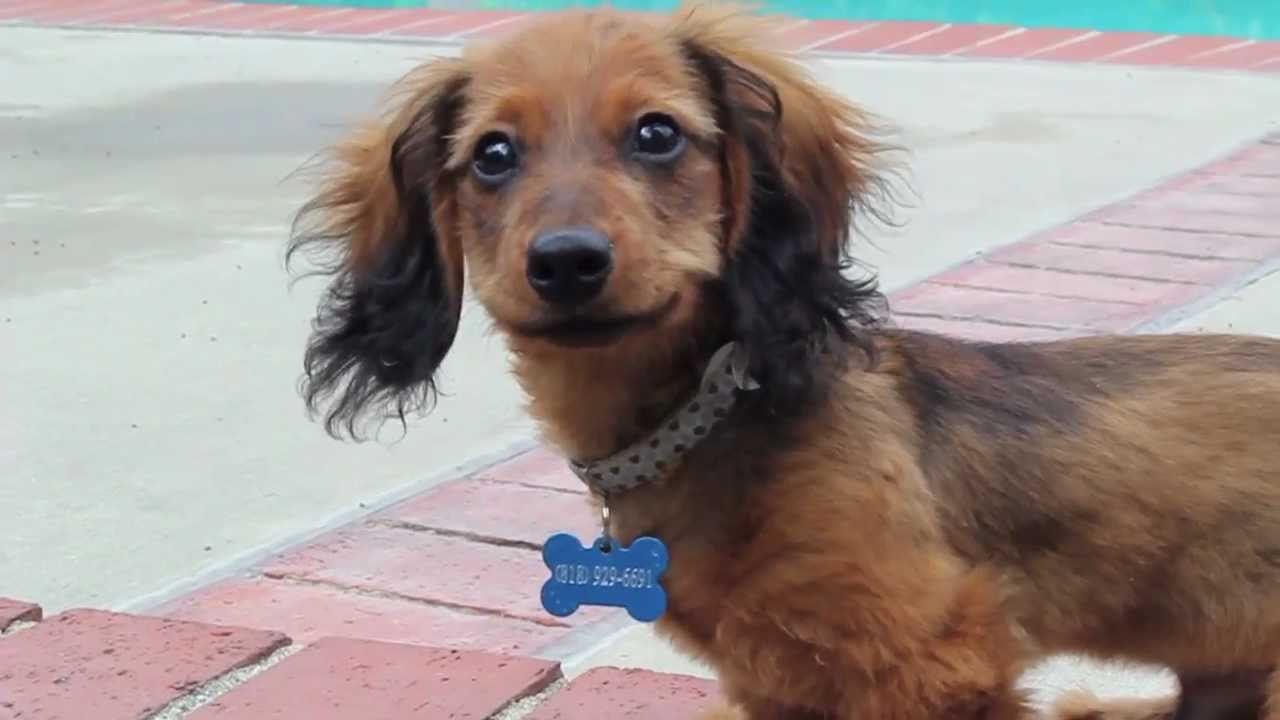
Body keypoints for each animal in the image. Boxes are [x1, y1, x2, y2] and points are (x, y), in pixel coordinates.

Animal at [288, 5, 1280, 717]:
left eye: (657, 134)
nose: (567, 262)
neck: (706, 418)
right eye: (492, 155)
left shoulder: (935, 663)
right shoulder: (779, 683)